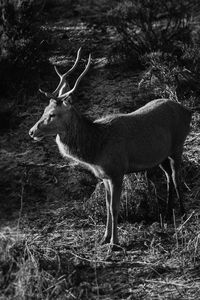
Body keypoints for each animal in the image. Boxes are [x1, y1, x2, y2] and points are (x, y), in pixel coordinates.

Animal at [28, 49, 191, 251]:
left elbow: (114, 208)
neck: (96, 149)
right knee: (168, 176)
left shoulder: (117, 171)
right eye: (44, 110)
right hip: (161, 155)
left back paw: (182, 212)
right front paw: (104, 238)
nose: (31, 131)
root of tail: (188, 111)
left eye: (52, 114)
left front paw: (115, 243)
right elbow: (106, 206)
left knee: (177, 177)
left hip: (178, 144)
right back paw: (168, 212)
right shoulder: (104, 176)